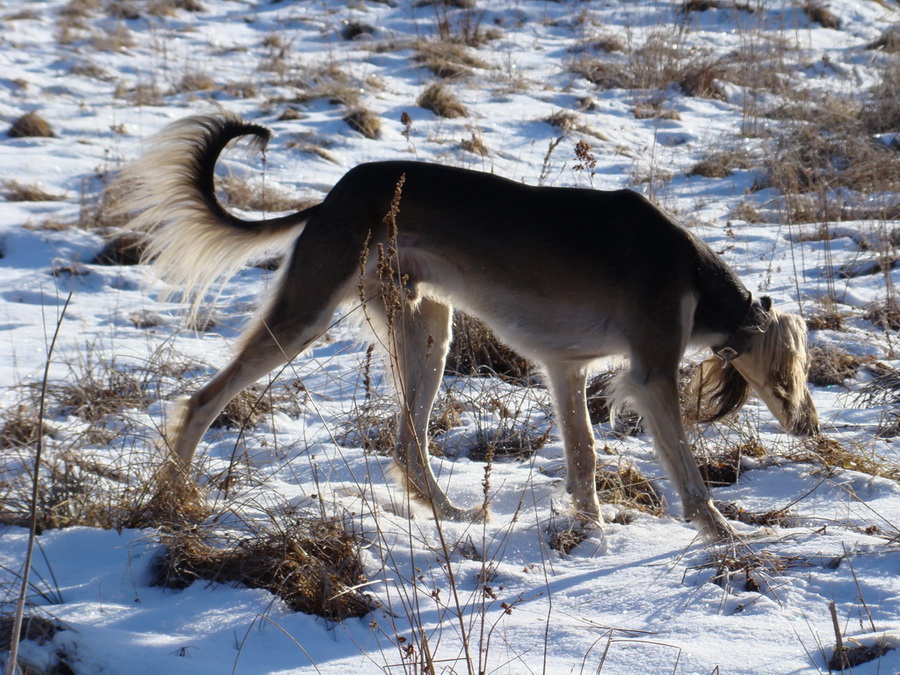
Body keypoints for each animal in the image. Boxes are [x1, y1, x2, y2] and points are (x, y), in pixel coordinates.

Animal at [123, 113, 820, 540]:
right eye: (798, 373)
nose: (812, 426)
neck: (694, 278)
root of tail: (332, 196)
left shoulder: (565, 367)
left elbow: (583, 456)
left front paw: (590, 526)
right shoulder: (652, 373)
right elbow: (688, 473)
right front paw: (722, 534)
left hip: (428, 329)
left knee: (406, 444)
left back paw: (450, 513)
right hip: (310, 313)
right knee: (204, 400)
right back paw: (175, 493)